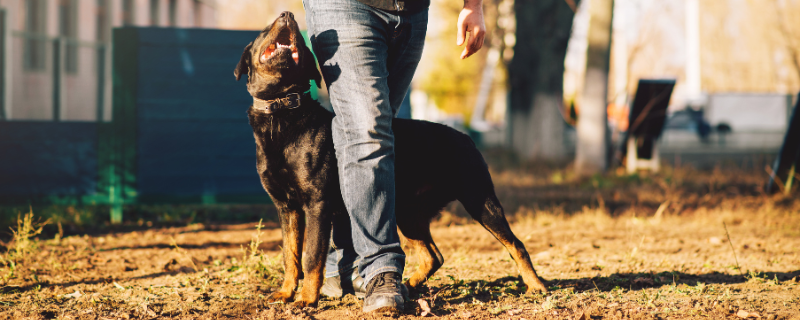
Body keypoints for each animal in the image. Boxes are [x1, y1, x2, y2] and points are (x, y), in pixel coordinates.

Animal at [234, 11, 548, 308]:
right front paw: (286, 293)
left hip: (479, 200)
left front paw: (307, 300)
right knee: (433, 256)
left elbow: (311, 257)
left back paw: (536, 286)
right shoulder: (286, 208)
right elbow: (290, 256)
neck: (282, 112)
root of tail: (465, 136)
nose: (287, 14)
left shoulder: (317, 205)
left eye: (297, 37)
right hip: (407, 213)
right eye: (264, 30)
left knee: (516, 244)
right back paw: (407, 286)